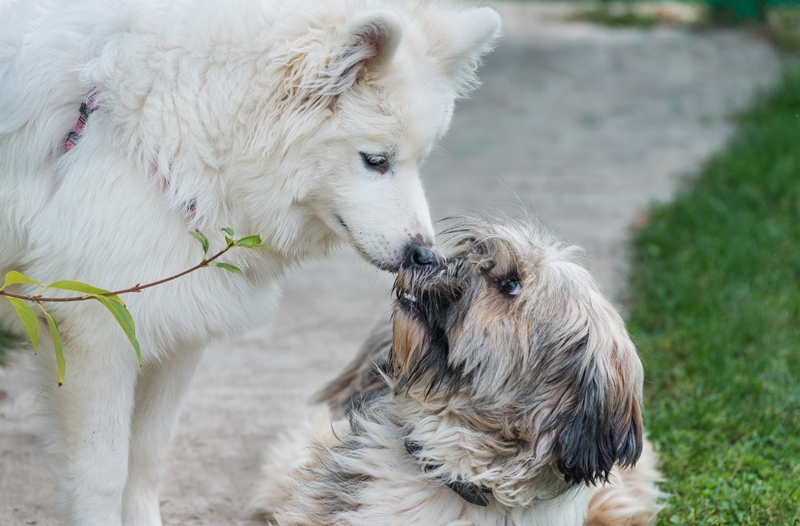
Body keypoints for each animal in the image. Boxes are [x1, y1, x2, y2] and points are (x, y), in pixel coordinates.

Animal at [0, 2, 500, 524]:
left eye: (419, 160)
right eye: (376, 160)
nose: (423, 254)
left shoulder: (176, 330)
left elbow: (147, 457)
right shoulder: (97, 334)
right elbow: (102, 477)